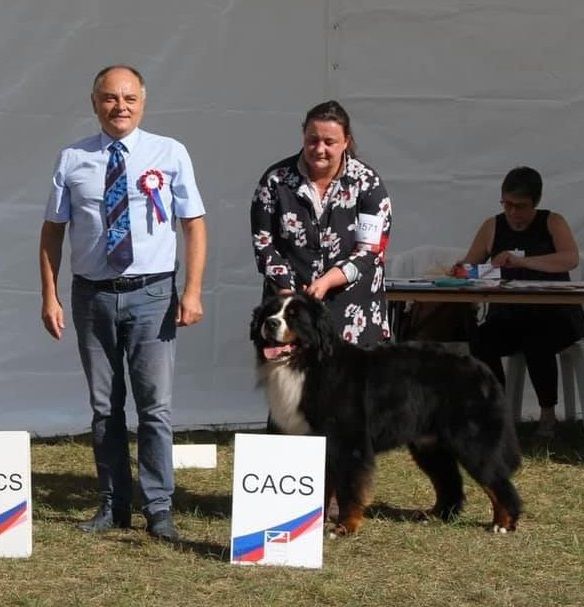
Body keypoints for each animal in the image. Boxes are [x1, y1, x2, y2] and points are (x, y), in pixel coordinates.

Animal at [249, 294, 524, 536]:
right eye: (270, 312)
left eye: (294, 316)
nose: (270, 323)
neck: (308, 365)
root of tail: (481, 367)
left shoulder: (349, 444)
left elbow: (349, 488)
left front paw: (344, 527)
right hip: (429, 446)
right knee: (449, 481)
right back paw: (437, 516)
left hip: (472, 441)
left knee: (497, 480)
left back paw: (503, 523)